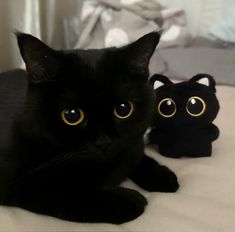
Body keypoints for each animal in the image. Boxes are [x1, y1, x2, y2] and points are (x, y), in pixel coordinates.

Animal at [0, 31, 178, 224]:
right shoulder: (17, 184)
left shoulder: (132, 143)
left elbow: (135, 154)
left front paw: (163, 176)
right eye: (71, 115)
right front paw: (131, 201)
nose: (104, 141)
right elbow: (67, 195)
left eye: (124, 109)